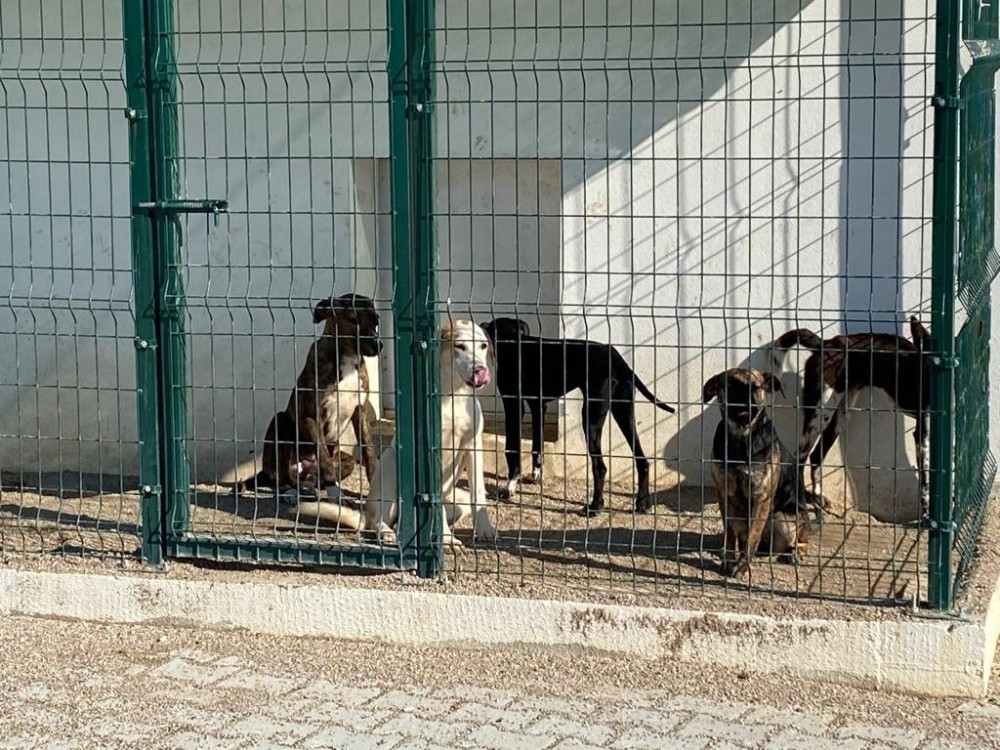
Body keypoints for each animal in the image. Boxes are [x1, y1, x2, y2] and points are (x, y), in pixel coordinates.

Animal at [362, 318, 498, 548]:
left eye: (482, 346)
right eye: (459, 346)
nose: (480, 370)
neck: (454, 395)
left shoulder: (473, 445)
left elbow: (479, 492)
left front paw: (484, 528)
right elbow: (435, 502)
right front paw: (446, 538)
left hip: (458, 500)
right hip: (389, 468)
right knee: (375, 519)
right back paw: (387, 532)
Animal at [480, 318, 676, 516]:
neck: (513, 343)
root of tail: (617, 359)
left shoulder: (514, 405)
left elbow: (511, 449)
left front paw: (509, 487)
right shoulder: (538, 406)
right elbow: (537, 445)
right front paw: (535, 475)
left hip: (591, 417)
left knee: (600, 467)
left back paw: (595, 506)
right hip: (624, 412)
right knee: (642, 461)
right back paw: (642, 503)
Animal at [768, 316, 932, 516]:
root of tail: (826, 343)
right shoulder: (922, 437)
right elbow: (925, 484)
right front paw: (926, 517)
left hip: (840, 416)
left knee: (815, 456)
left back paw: (818, 498)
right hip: (820, 414)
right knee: (800, 458)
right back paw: (802, 501)